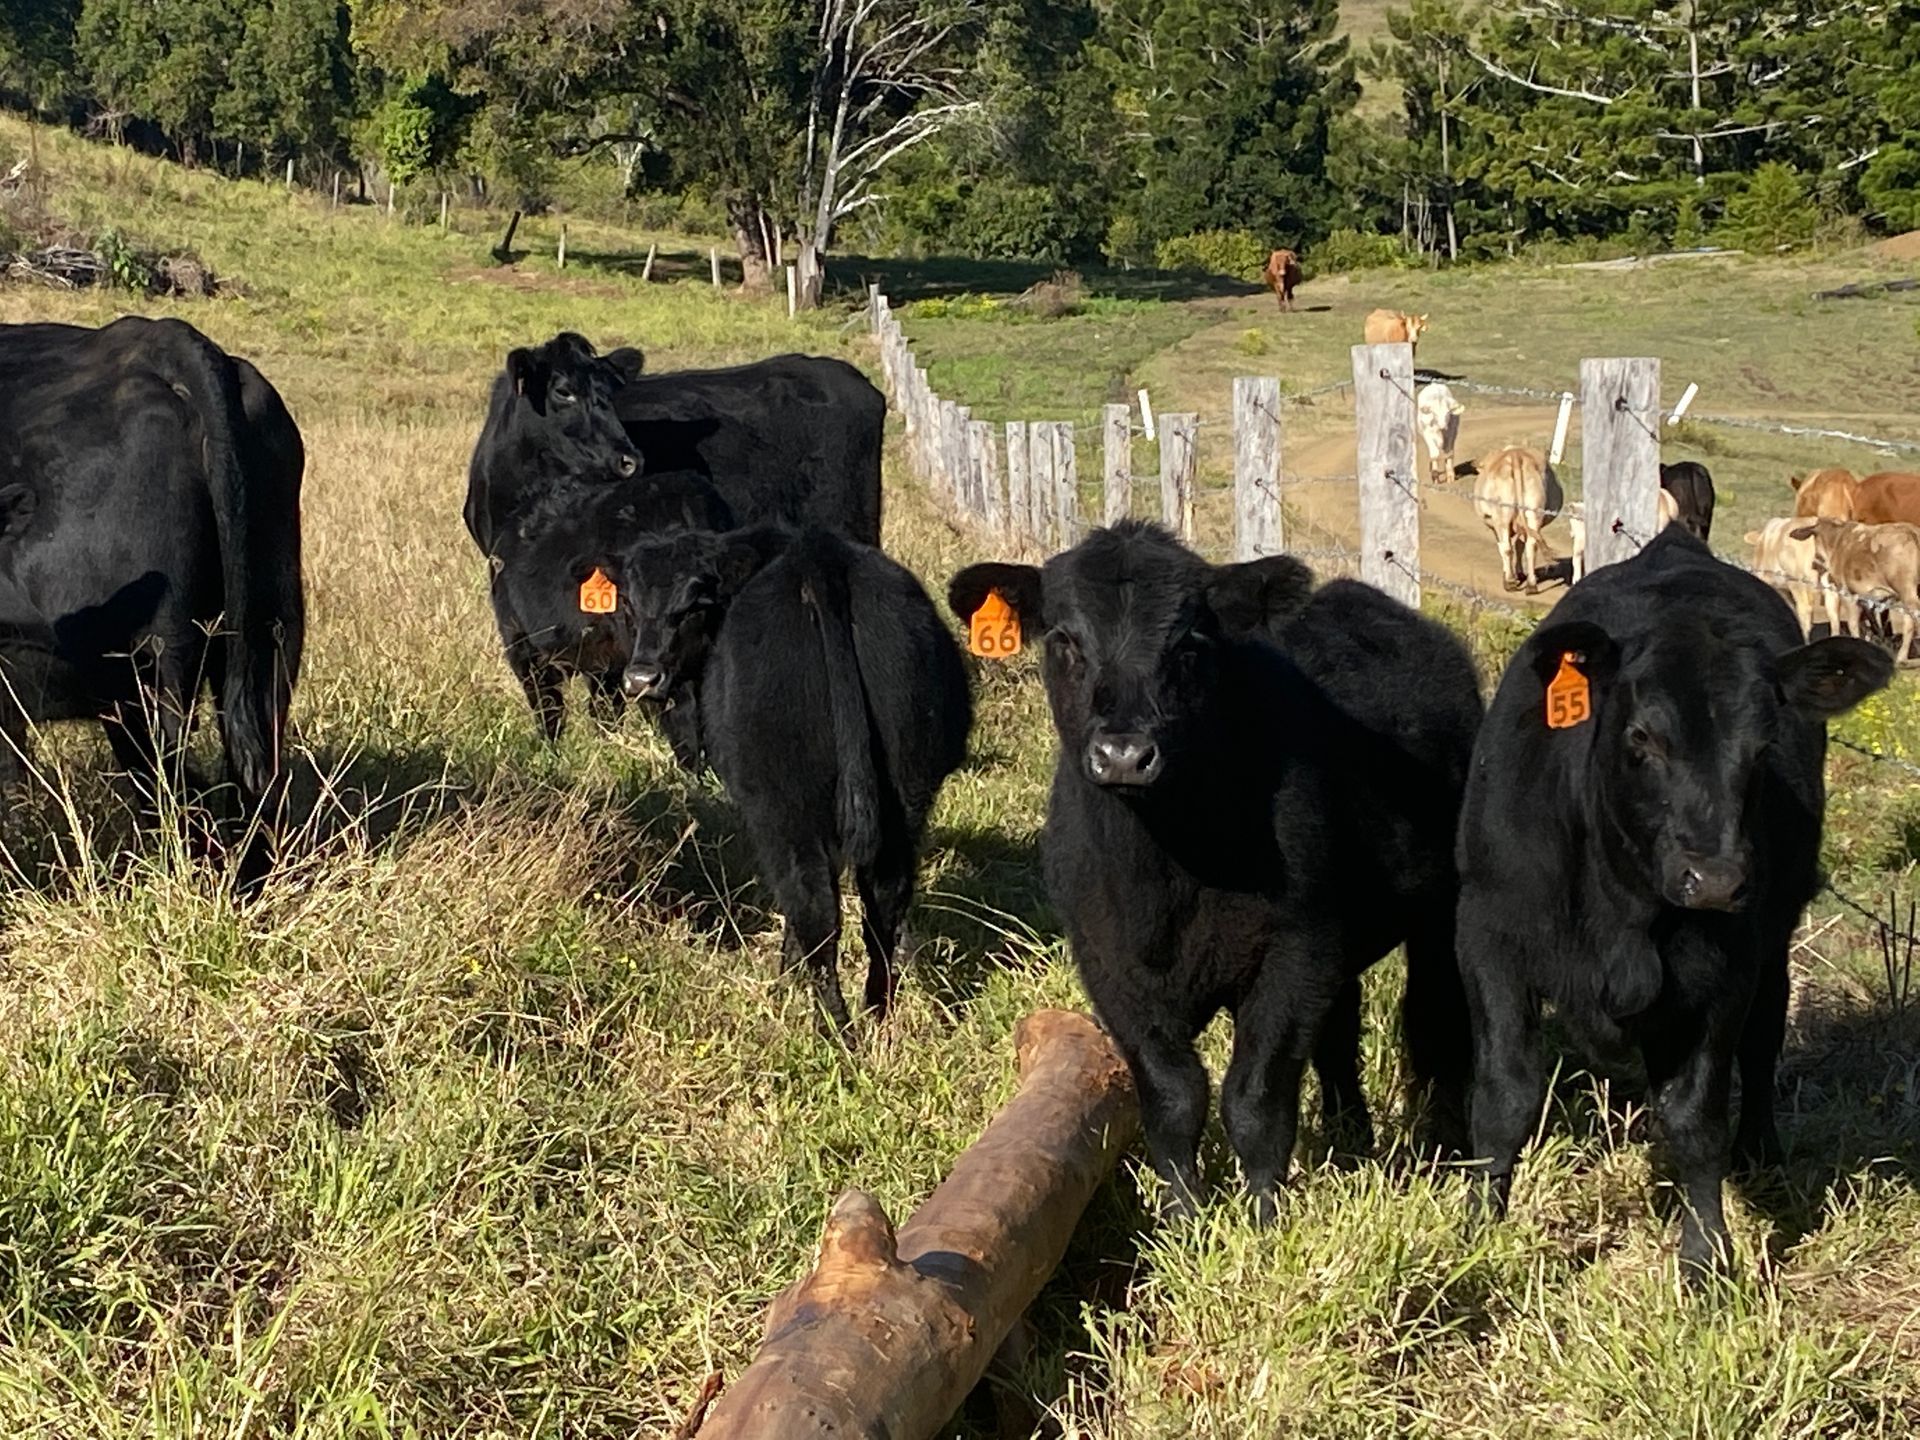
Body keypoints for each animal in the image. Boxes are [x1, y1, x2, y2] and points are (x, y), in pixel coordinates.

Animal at [606, 525, 971, 1035]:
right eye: (629, 602)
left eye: (695, 604)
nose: (642, 678)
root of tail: (822, 559)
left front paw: (786, 979)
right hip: (905, 797)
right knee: (882, 902)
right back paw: (876, 1016)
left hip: (784, 808)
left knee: (816, 910)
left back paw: (834, 1029)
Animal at [946, 522, 1484, 1221]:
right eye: (1064, 639)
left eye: (1189, 644)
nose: (1124, 754)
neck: (1164, 880)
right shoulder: (1107, 964)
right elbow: (1175, 1095)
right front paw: (1185, 1216)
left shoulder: (1297, 950)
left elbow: (1254, 1093)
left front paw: (1263, 1216)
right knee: (1340, 1037)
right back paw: (1351, 1143)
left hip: (1438, 908)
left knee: (1434, 1021)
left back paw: (1444, 1150)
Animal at [1455, 527, 1891, 1279]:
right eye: (1642, 738)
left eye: (1762, 747)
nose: (1712, 879)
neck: (1623, 910)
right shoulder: (1488, 936)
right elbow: (1504, 1096)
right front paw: (1481, 1231)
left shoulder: (1725, 971)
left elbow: (1695, 1118)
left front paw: (1707, 1259)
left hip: (1772, 943)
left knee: (1764, 1041)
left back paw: (1762, 1156)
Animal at [1473, 447, 1562, 593]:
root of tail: (1516, 454)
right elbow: (1520, 545)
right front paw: (1520, 573)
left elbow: (1506, 547)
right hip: (1533, 513)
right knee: (1531, 545)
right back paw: (1531, 585)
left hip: (1502, 517)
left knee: (1506, 547)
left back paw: (1509, 582)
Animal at [1789, 518, 1920, 662]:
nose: (1814, 564)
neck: (1837, 540)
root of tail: (1911, 531)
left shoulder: (1847, 593)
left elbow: (1851, 623)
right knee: (1908, 623)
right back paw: (1901, 657)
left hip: (1907, 591)